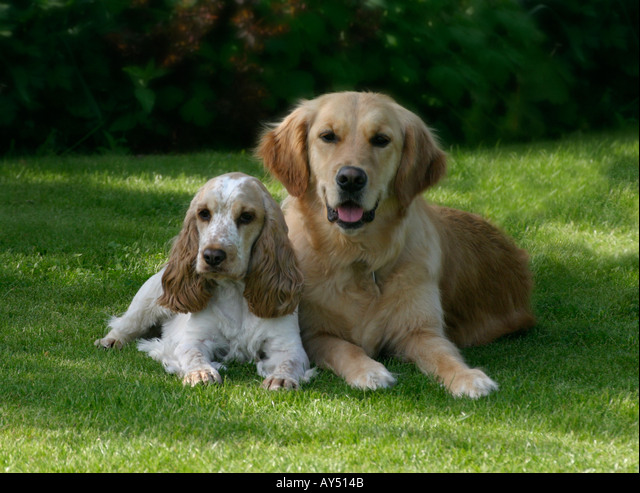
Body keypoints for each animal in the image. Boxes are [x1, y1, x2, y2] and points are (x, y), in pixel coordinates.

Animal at [256, 92, 536, 398]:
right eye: (328, 136)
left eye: (381, 139)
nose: (351, 179)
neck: (358, 256)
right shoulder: (314, 333)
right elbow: (345, 348)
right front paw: (369, 370)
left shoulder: (419, 330)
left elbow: (443, 354)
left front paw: (467, 377)